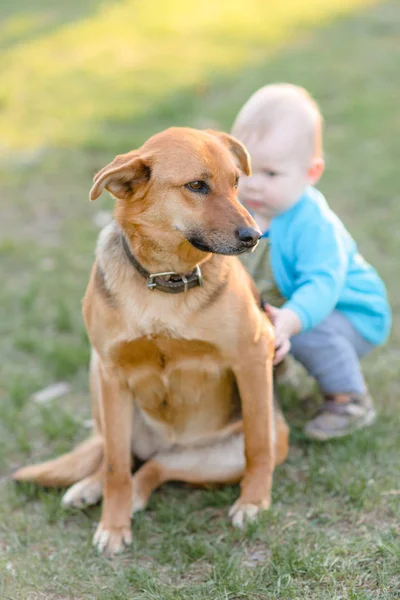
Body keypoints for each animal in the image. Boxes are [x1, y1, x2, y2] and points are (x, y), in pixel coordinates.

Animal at [12, 127, 288, 556]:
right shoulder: (112, 372)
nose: (254, 236)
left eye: (236, 183)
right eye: (197, 186)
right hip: (99, 383)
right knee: (118, 454)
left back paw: (140, 493)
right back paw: (91, 487)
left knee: (158, 467)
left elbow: (258, 445)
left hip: (223, 455)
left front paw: (254, 502)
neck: (165, 281)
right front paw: (113, 525)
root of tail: (166, 444)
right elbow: (115, 467)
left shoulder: (254, 355)